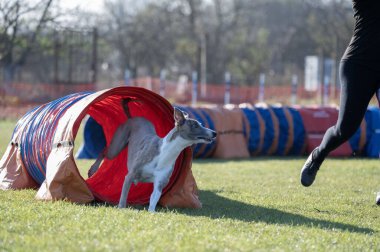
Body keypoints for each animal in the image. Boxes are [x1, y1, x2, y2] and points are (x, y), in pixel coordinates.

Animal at [87, 99, 215, 212]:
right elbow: (123, 197)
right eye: (195, 125)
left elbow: (153, 200)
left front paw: (152, 213)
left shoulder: (159, 183)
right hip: (116, 146)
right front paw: (121, 209)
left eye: (200, 124)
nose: (214, 133)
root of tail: (132, 118)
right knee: (104, 151)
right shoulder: (130, 176)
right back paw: (92, 170)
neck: (165, 153)